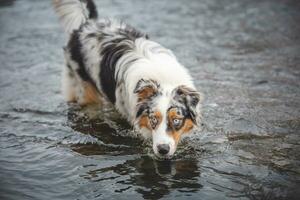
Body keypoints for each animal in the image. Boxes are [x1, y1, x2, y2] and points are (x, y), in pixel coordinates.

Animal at [52, 0, 203, 159]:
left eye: (176, 120)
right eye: (153, 119)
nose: (163, 150)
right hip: (83, 88)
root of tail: (87, 23)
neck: (163, 80)